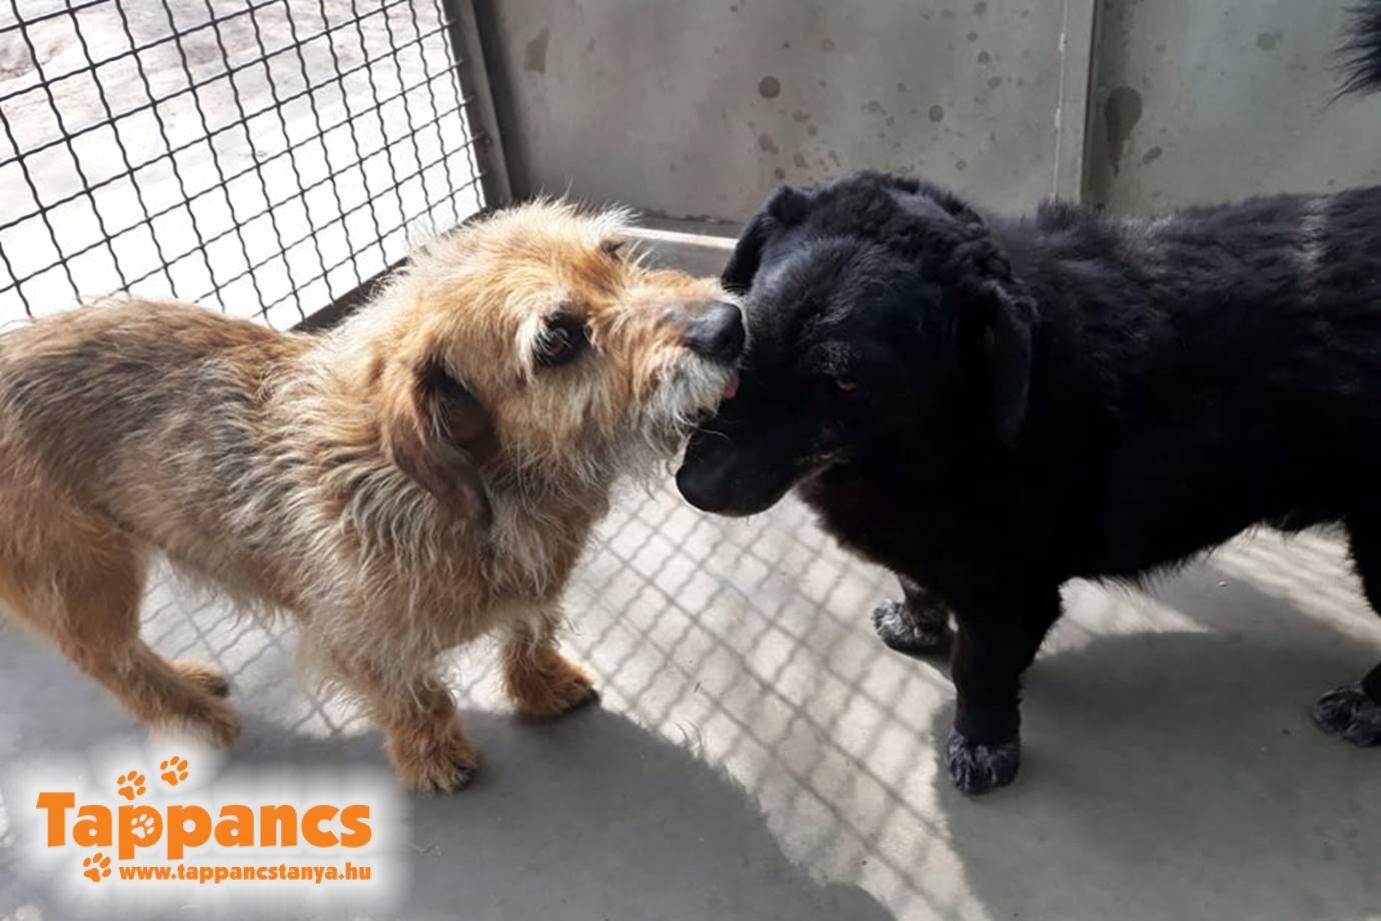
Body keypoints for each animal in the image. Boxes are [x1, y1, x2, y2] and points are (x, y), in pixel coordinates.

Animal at [0, 201, 744, 792]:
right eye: (557, 340)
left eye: (615, 253)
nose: (729, 325)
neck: (485, 488)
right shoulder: (359, 641)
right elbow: (413, 694)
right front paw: (433, 757)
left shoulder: (537, 586)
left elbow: (529, 630)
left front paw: (542, 686)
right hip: (84, 579)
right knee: (112, 660)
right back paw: (194, 717)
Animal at [677, 6, 1381, 794]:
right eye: (746, 333)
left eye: (846, 379)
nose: (692, 485)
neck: (941, 432)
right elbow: (918, 586)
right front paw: (918, 626)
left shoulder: (1009, 589)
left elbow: (979, 672)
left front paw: (984, 745)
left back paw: (1368, 704)